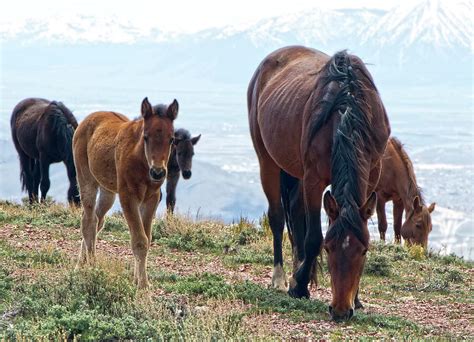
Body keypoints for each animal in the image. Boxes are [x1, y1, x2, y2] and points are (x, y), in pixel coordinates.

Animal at [74, 97, 178, 288]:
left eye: (172, 139)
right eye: (146, 137)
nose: (158, 172)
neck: (141, 162)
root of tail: (86, 120)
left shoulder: (151, 198)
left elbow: (147, 238)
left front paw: (138, 279)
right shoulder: (128, 197)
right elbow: (139, 240)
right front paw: (143, 285)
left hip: (108, 191)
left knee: (98, 220)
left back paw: (83, 263)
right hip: (86, 179)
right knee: (88, 221)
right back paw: (90, 266)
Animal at [246, 46, 390, 322]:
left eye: (364, 250)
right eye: (329, 248)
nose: (341, 310)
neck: (347, 111)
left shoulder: (372, 174)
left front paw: (357, 298)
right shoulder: (313, 179)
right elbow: (313, 236)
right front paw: (299, 286)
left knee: (294, 214)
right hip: (267, 159)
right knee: (278, 217)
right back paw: (281, 278)